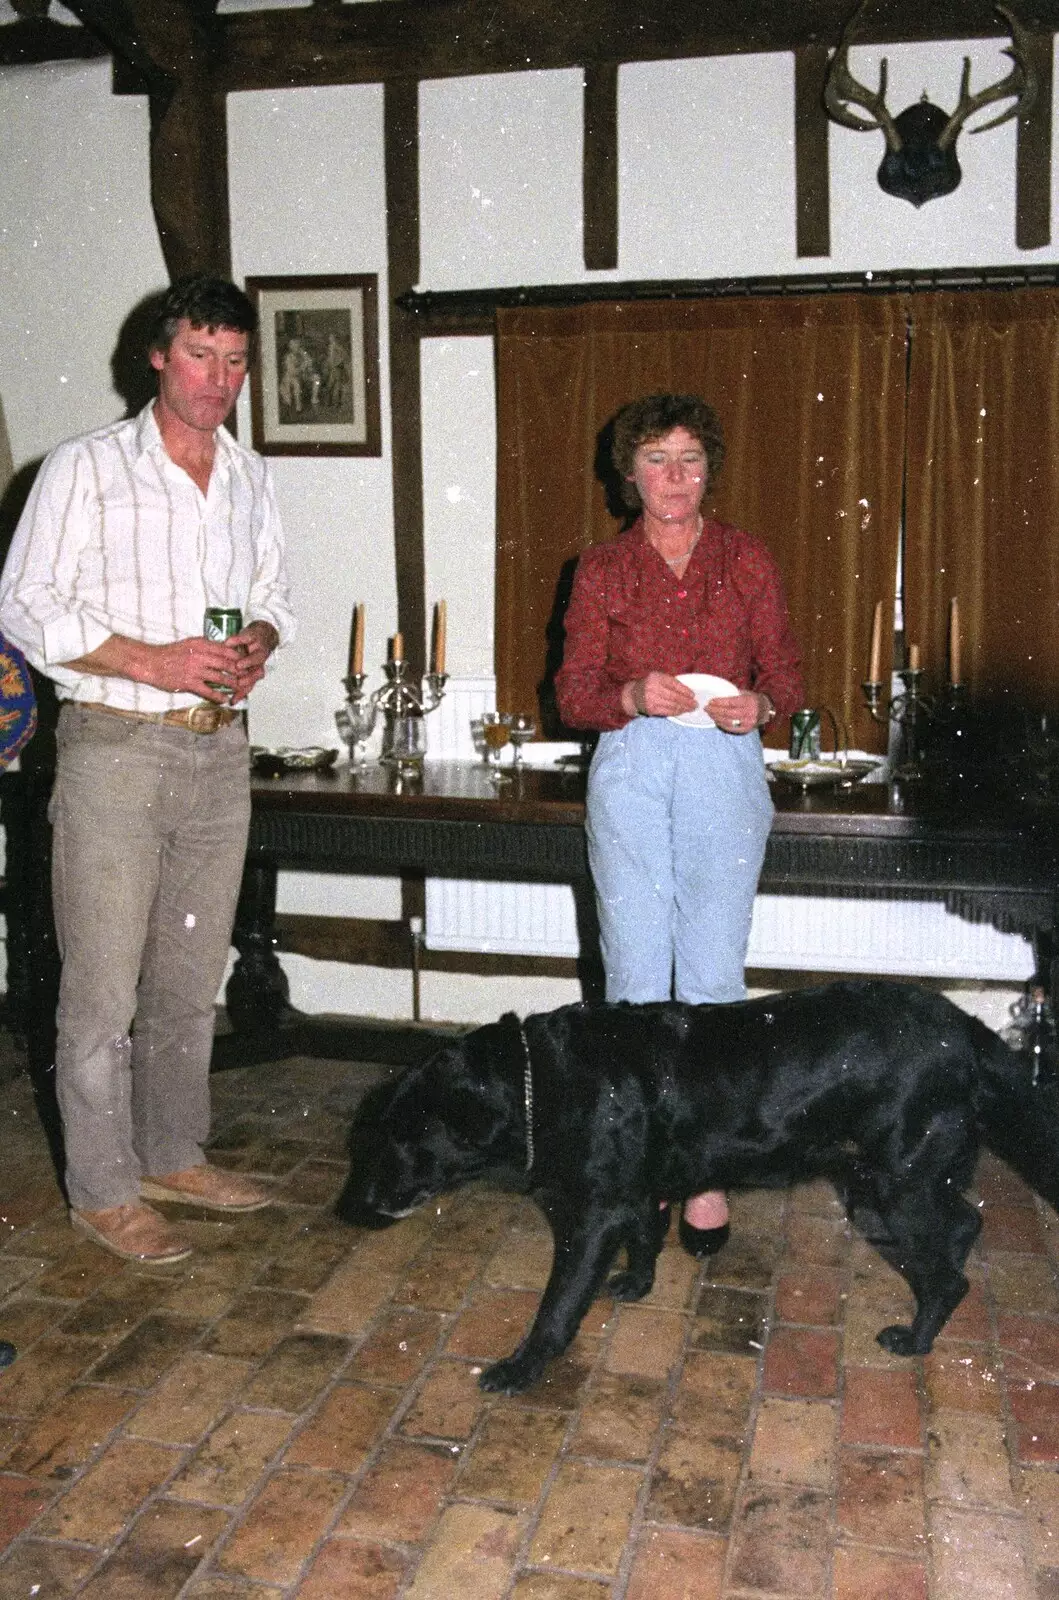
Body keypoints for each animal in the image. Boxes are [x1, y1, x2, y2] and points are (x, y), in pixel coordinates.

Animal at [335, 972, 1055, 1388]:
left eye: (404, 1138)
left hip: (893, 1184)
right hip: (904, 1177)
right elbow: (645, 1235)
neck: (540, 1084)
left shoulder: (591, 1217)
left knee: (948, 1273)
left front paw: (522, 1367)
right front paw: (636, 1283)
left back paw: (916, 1338)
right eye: (374, 1136)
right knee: (963, 1222)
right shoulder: (632, 1195)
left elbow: (557, 1307)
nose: (357, 1203)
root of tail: (965, 1029)